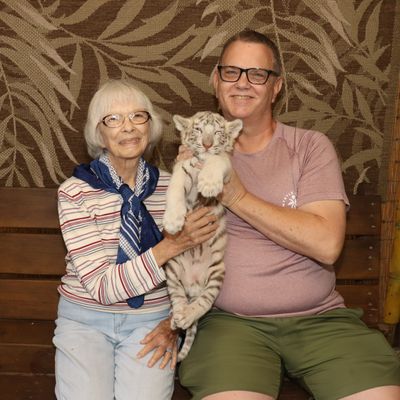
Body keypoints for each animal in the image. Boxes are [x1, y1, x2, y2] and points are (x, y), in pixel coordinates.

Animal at [162, 111, 243, 361]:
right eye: (198, 130)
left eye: (216, 132)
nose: (207, 144)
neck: (201, 163)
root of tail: (194, 286)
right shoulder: (182, 168)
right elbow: (175, 189)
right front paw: (173, 220)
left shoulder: (225, 163)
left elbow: (217, 160)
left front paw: (208, 184)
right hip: (172, 270)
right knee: (177, 297)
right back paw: (177, 316)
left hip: (217, 273)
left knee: (204, 303)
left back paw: (186, 316)